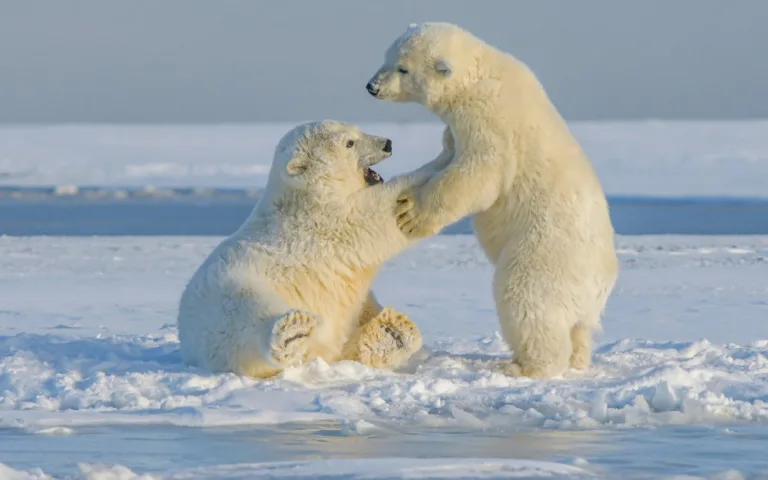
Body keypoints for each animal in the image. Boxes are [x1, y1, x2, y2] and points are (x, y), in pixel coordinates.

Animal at [180, 120, 432, 378]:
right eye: (349, 143)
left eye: (358, 130)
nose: (387, 144)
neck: (305, 194)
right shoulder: (325, 222)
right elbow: (374, 215)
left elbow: (359, 304)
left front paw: (390, 330)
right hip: (230, 292)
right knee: (248, 314)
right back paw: (293, 333)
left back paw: (392, 331)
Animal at [368, 22, 620, 376]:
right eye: (387, 57)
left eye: (403, 68)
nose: (372, 86)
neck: (481, 72)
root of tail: (601, 283)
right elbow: (451, 153)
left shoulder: (489, 121)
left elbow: (478, 174)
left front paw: (410, 212)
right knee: (579, 328)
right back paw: (577, 360)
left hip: (544, 254)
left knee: (525, 300)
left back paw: (523, 366)